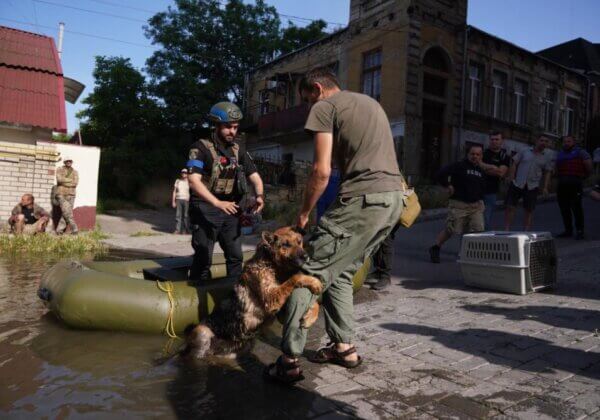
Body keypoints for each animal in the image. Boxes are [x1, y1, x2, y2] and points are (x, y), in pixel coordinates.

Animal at [183, 226, 324, 358]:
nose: (306, 256)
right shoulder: (271, 298)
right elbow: (295, 277)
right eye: (286, 245)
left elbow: (315, 303)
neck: (271, 264)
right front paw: (315, 281)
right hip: (203, 333)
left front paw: (310, 316)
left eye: (299, 241)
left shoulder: (282, 311)